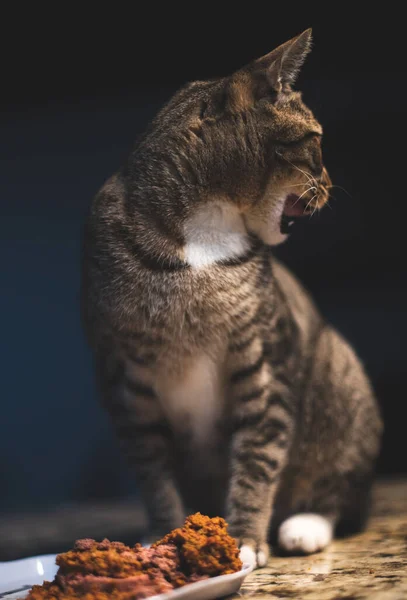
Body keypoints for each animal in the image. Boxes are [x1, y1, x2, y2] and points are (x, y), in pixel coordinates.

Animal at [82, 29, 382, 568]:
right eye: (316, 141)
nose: (329, 184)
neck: (204, 233)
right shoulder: (124, 381)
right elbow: (152, 472)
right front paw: (166, 535)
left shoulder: (265, 363)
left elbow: (258, 458)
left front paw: (242, 539)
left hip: (341, 374)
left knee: (340, 490)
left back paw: (304, 526)